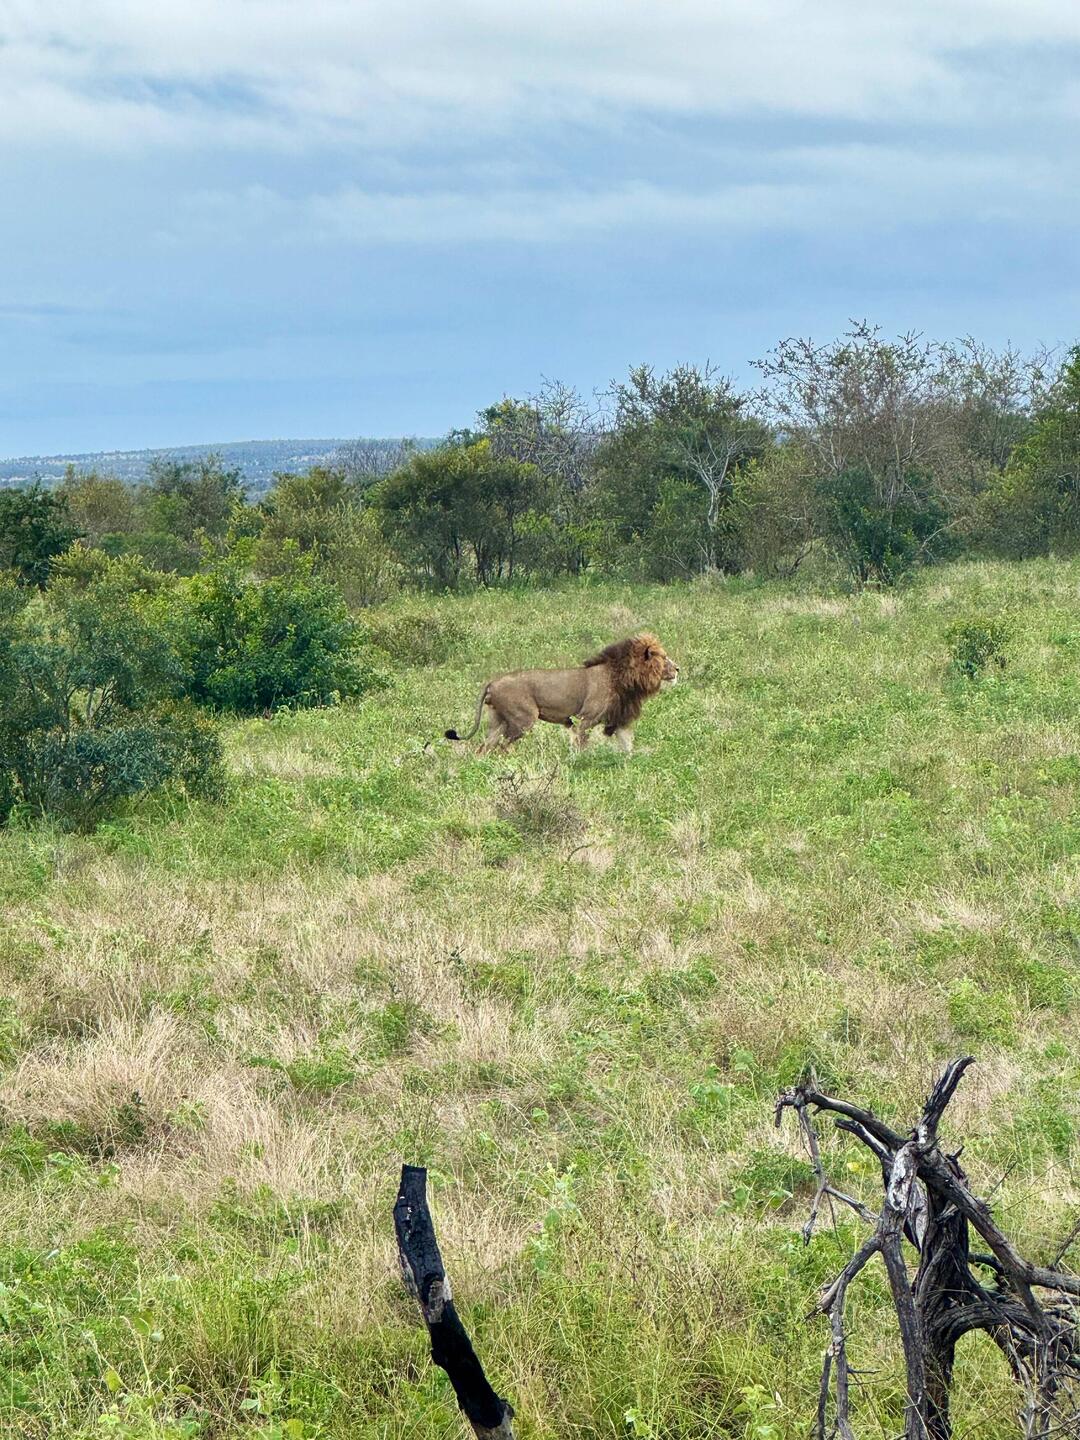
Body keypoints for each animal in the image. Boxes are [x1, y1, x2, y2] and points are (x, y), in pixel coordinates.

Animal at [444, 632, 678, 754]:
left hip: (497, 720)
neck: (622, 676)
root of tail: (493, 682)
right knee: (502, 746)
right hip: (523, 718)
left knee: (484, 747)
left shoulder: (617, 717)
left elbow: (627, 744)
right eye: (664, 657)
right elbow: (582, 743)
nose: (678, 669)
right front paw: (582, 760)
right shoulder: (586, 718)